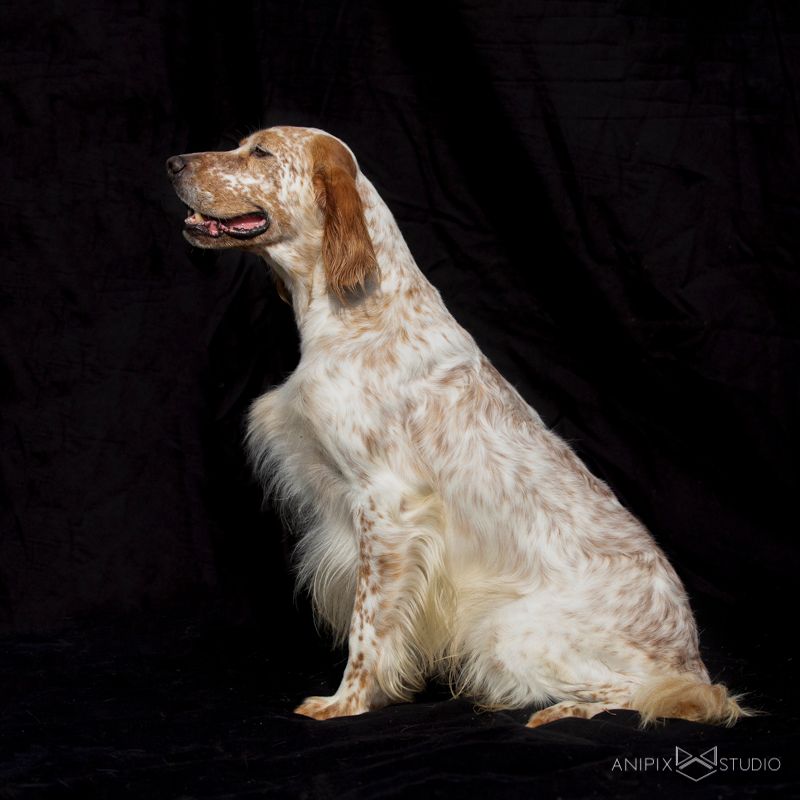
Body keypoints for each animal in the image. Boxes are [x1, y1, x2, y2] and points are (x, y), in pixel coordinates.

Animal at [167, 125, 747, 727]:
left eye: (260, 152)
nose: (173, 163)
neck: (363, 312)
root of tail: (690, 655)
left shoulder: (387, 505)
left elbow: (366, 627)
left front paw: (345, 702)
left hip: (510, 632)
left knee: (664, 692)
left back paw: (561, 710)